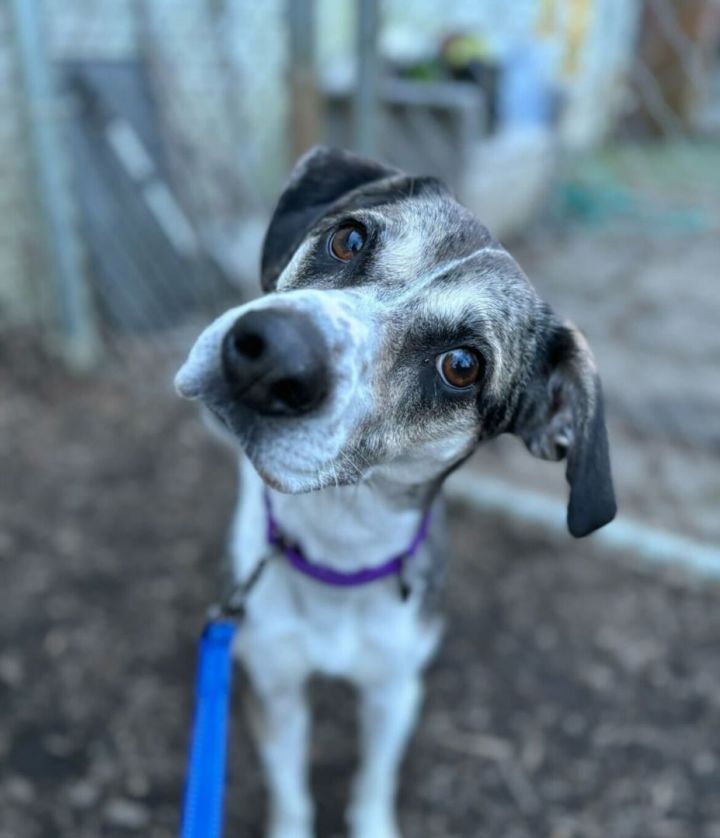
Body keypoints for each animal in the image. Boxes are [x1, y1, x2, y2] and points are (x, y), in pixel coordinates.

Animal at [173, 148, 612, 836]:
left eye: (462, 366)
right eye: (348, 238)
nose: (269, 357)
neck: (337, 552)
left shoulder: (395, 692)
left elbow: (375, 780)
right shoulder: (275, 686)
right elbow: (291, 794)